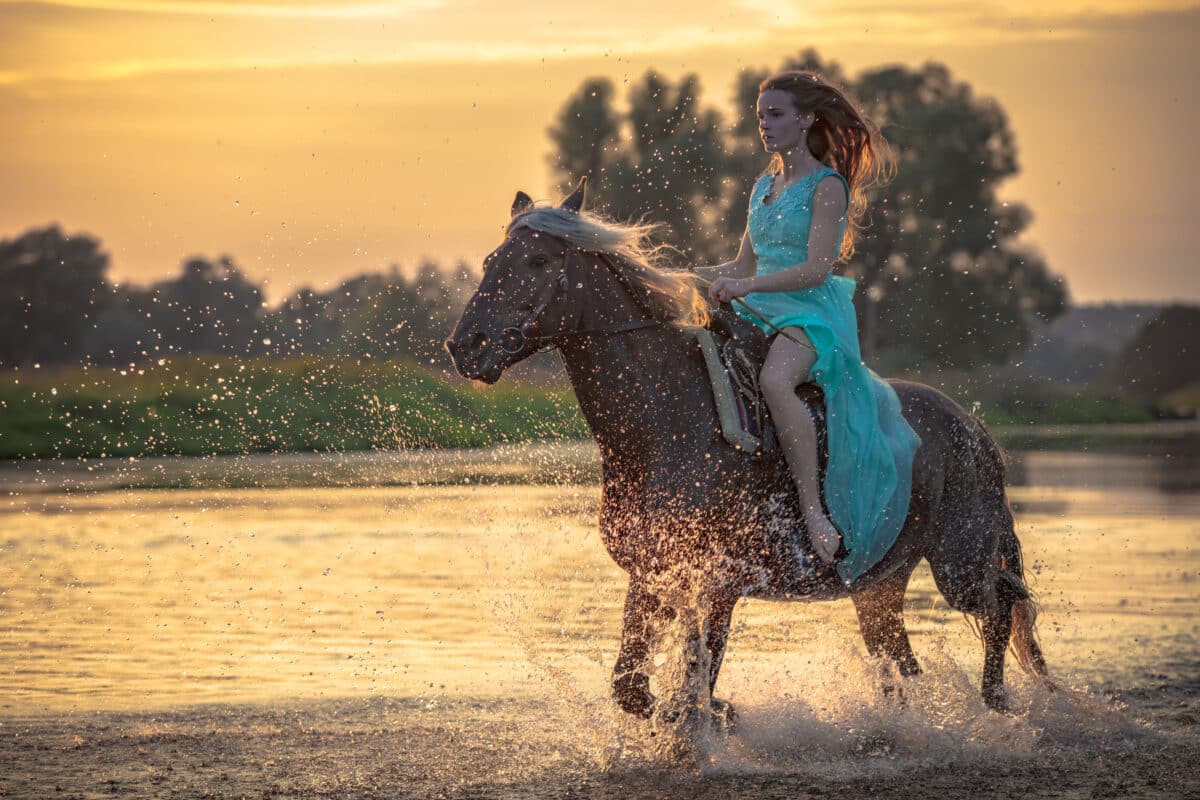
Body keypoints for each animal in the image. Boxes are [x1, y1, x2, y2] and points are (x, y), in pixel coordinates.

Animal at [446, 181, 1046, 724]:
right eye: (491, 260)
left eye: (539, 260)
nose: (466, 346)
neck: (664, 424)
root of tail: (974, 428)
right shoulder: (652, 575)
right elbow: (635, 690)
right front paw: (716, 714)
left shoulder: (717, 585)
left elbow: (692, 687)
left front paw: (716, 716)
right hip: (880, 584)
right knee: (904, 662)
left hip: (959, 563)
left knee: (1003, 605)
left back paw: (1000, 704)